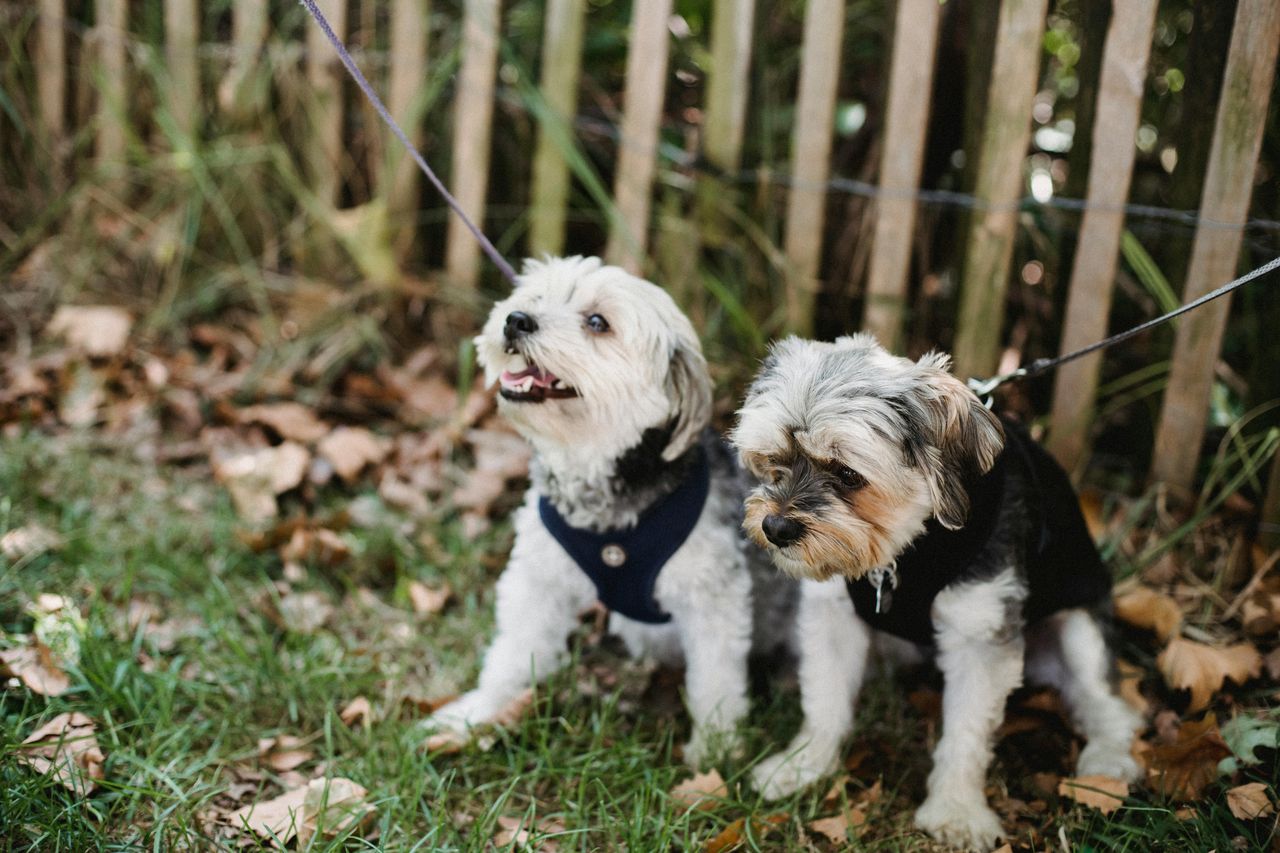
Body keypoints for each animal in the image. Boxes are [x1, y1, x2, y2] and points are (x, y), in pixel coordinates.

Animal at [430, 253, 788, 763]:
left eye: (597, 322)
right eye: (534, 295)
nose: (515, 320)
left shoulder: (712, 599)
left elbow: (715, 682)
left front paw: (714, 752)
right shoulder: (537, 582)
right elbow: (513, 653)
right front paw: (478, 713)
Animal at [732, 333, 1141, 850]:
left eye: (847, 474)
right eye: (773, 459)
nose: (776, 527)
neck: (905, 548)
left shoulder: (980, 634)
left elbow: (966, 732)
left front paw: (957, 813)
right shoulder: (833, 616)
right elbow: (824, 698)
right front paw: (804, 764)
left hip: (1079, 626)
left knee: (1108, 703)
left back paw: (1108, 764)